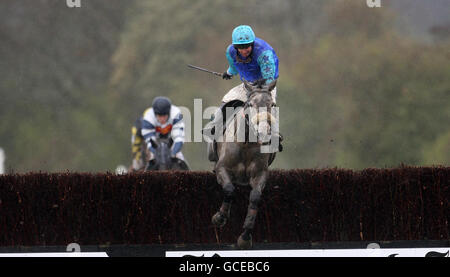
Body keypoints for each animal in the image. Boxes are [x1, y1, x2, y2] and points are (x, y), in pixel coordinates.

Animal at [210, 78, 280, 249]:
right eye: (251, 104)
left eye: (272, 104)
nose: (264, 132)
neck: (246, 144)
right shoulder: (222, 167)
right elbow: (229, 189)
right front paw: (219, 217)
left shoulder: (260, 173)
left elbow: (255, 197)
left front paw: (245, 236)